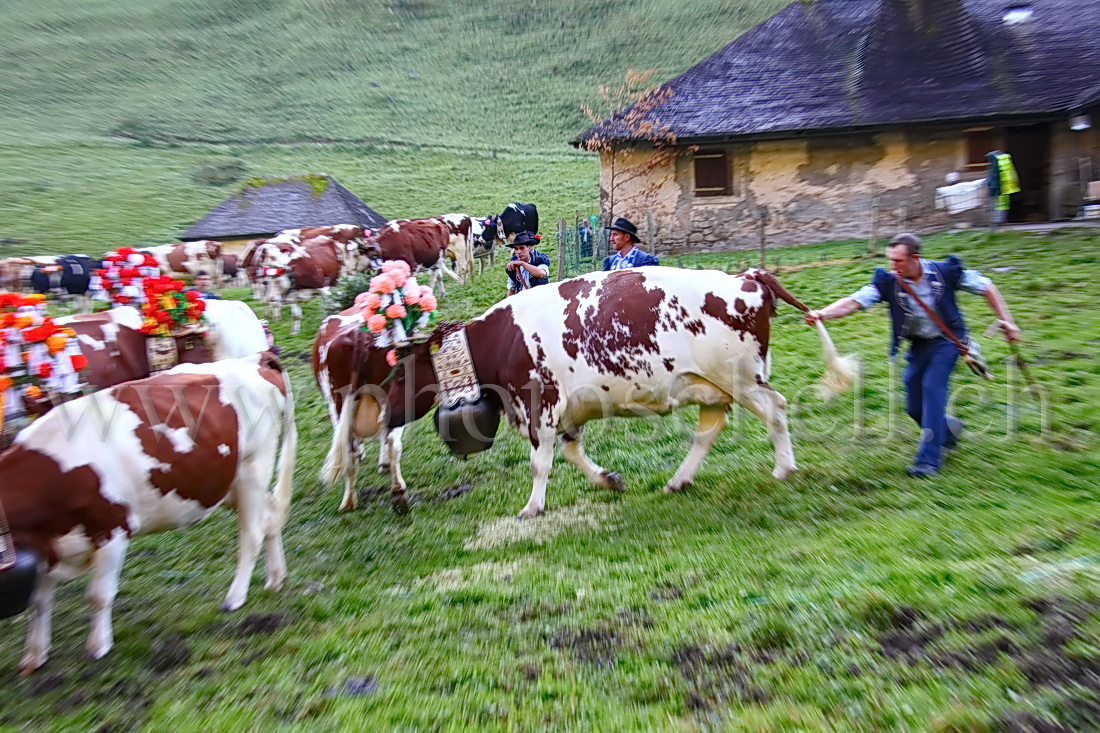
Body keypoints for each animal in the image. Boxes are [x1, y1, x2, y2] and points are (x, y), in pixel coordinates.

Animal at [0, 352, 299, 669]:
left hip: (253, 469)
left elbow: (99, 595)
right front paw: (34, 655)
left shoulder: (113, 529)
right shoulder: (44, 546)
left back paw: (235, 597)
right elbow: (39, 602)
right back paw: (276, 577)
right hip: (229, 483)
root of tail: (255, 358)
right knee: (269, 518)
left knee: (252, 534)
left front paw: (98, 646)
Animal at [352, 265, 858, 517]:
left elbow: (540, 464)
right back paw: (679, 479)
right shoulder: (564, 411)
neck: (498, 342)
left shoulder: (540, 405)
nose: (384, 413)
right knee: (709, 430)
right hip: (710, 386)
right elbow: (572, 453)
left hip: (742, 378)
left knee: (776, 408)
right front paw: (608, 479)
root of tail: (747, 276)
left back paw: (784, 467)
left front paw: (532, 507)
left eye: (401, 372)